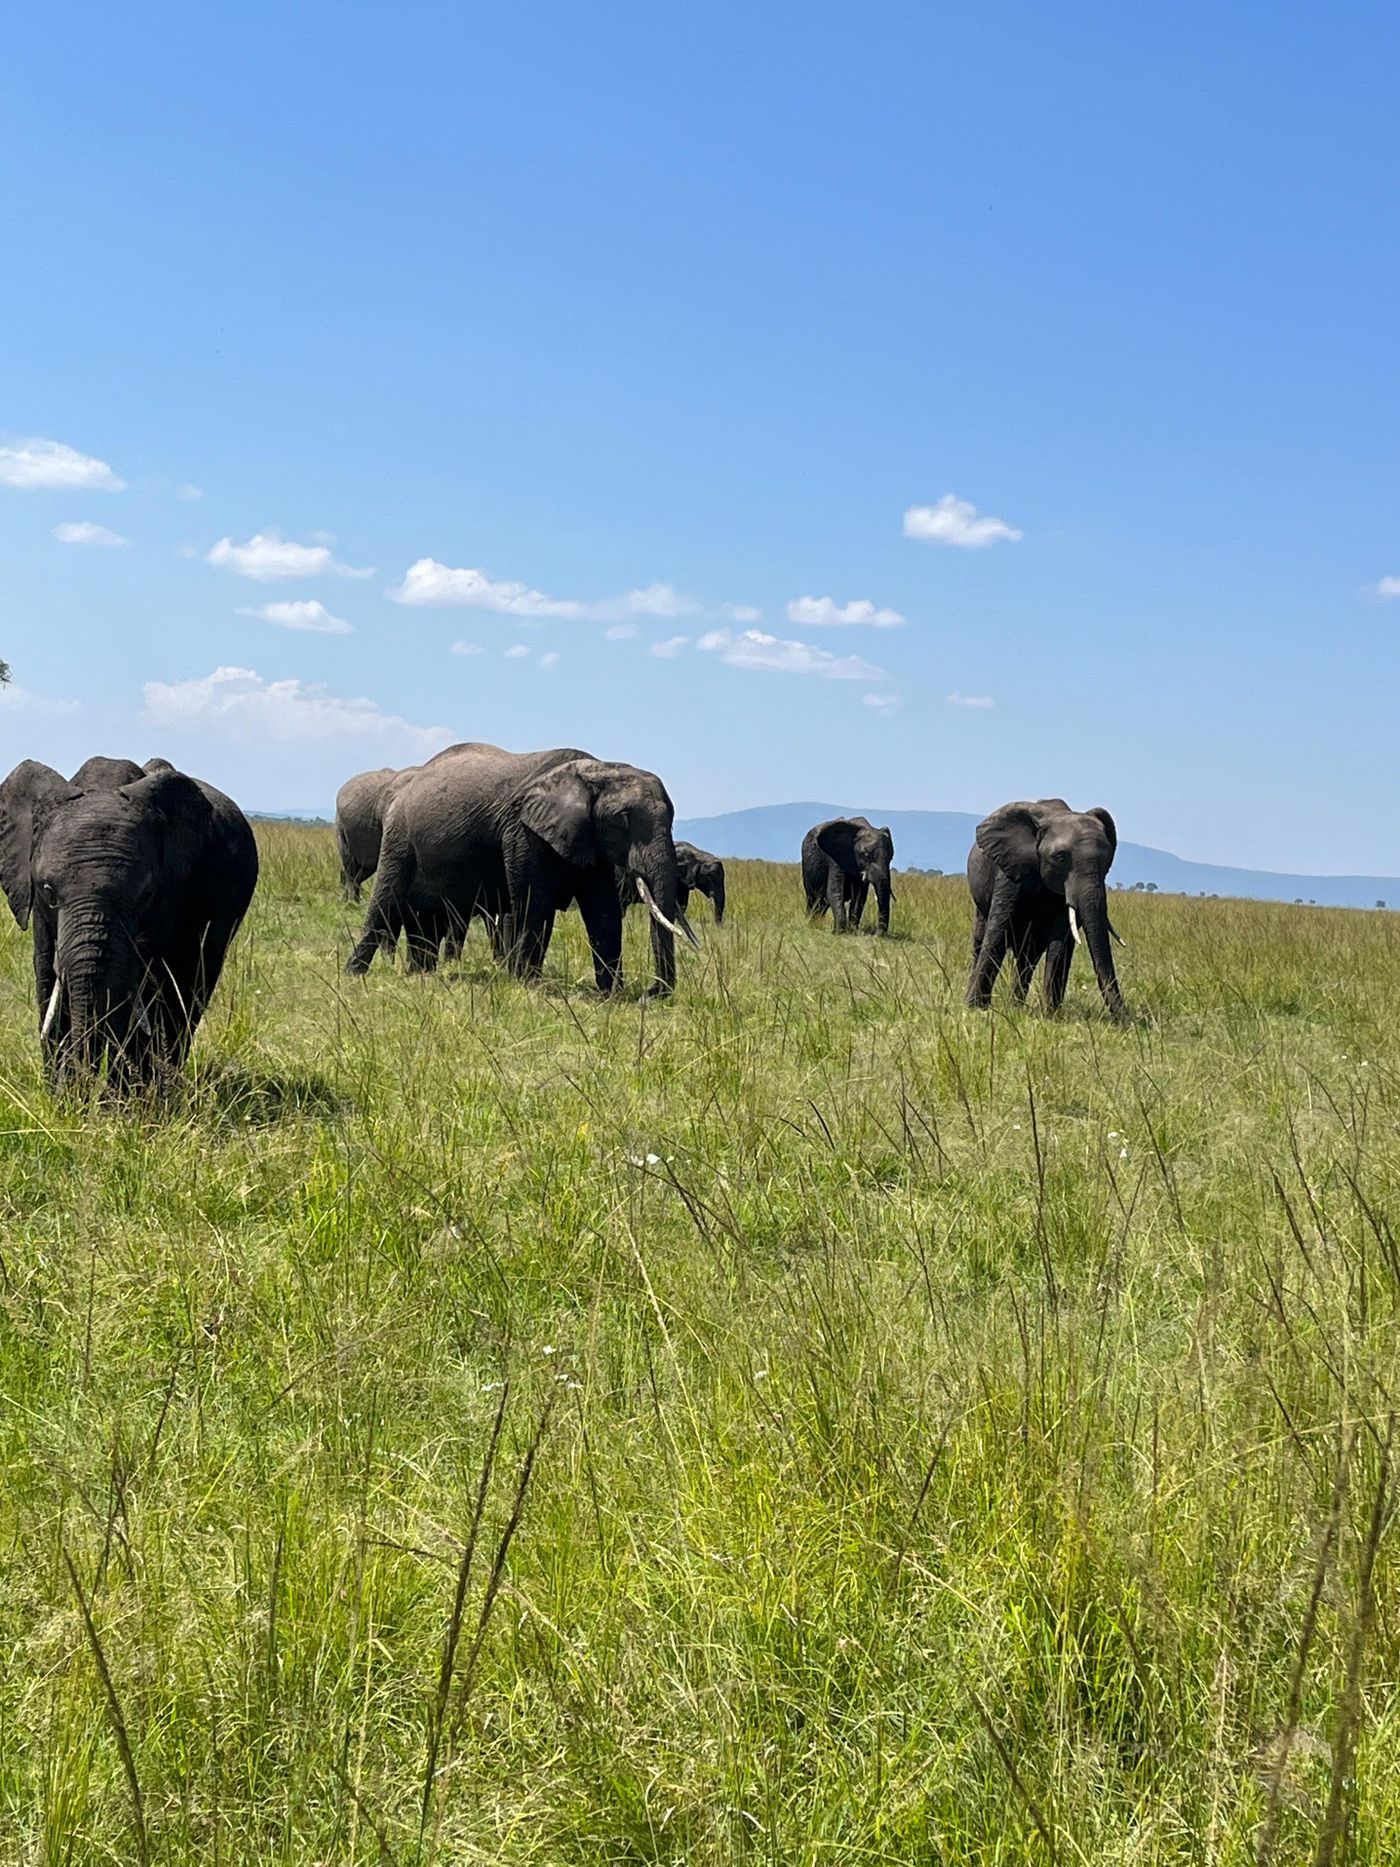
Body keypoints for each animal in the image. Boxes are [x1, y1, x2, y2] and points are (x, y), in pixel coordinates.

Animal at [0, 754, 259, 1086]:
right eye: (47, 890)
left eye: (146, 894)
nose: (85, 1089)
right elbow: (49, 980)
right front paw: (63, 1091)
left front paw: (122, 1092)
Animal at [346, 745, 700, 993]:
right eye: (623, 820)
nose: (652, 992)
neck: (597, 768)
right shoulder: (523, 831)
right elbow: (535, 901)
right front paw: (528, 984)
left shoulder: (588, 838)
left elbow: (603, 909)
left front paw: (610, 994)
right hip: (399, 835)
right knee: (386, 900)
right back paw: (353, 973)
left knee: (427, 916)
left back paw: (422, 974)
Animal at [965, 797, 1126, 1019]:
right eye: (1060, 857)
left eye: (1108, 860)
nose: (1128, 1020)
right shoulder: (1009, 869)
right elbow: (998, 931)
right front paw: (975, 1008)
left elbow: (1059, 942)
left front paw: (1050, 1014)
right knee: (981, 940)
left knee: (1028, 958)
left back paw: (1016, 1006)